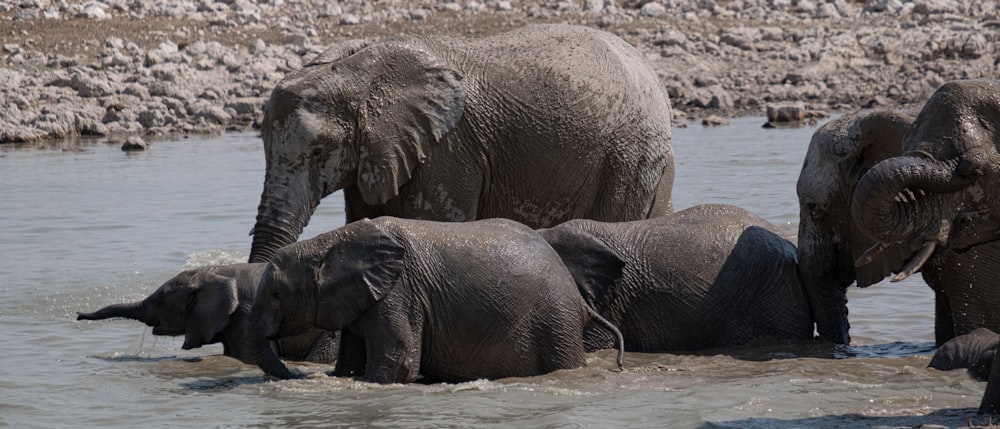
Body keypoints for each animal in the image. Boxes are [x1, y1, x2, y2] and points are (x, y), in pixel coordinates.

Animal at [248, 217, 624, 382]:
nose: (294, 376)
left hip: (555, 320)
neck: (330, 240)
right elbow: (351, 361)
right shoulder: (364, 298)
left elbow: (399, 360)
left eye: (278, 295)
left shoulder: (400, 292)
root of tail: (578, 299)